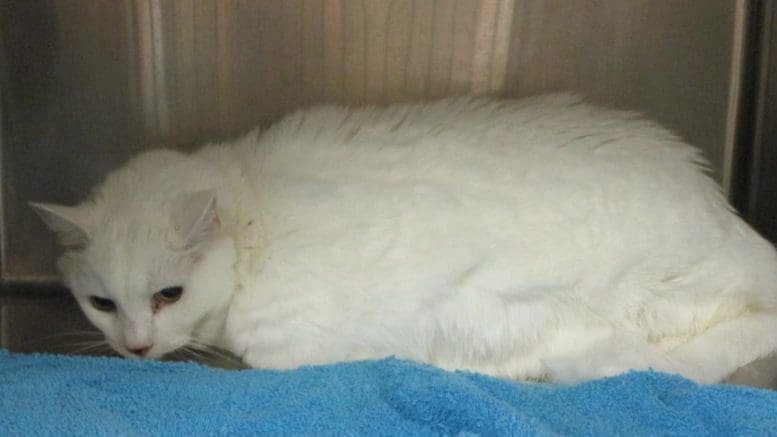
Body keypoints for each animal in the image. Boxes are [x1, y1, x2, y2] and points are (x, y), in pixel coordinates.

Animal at [30, 95, 776, 384]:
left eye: (169, 294)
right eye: (101, 304)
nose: (134, 346)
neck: (254, 215)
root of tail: (725, 214)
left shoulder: (283, 345)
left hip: (657, 298)